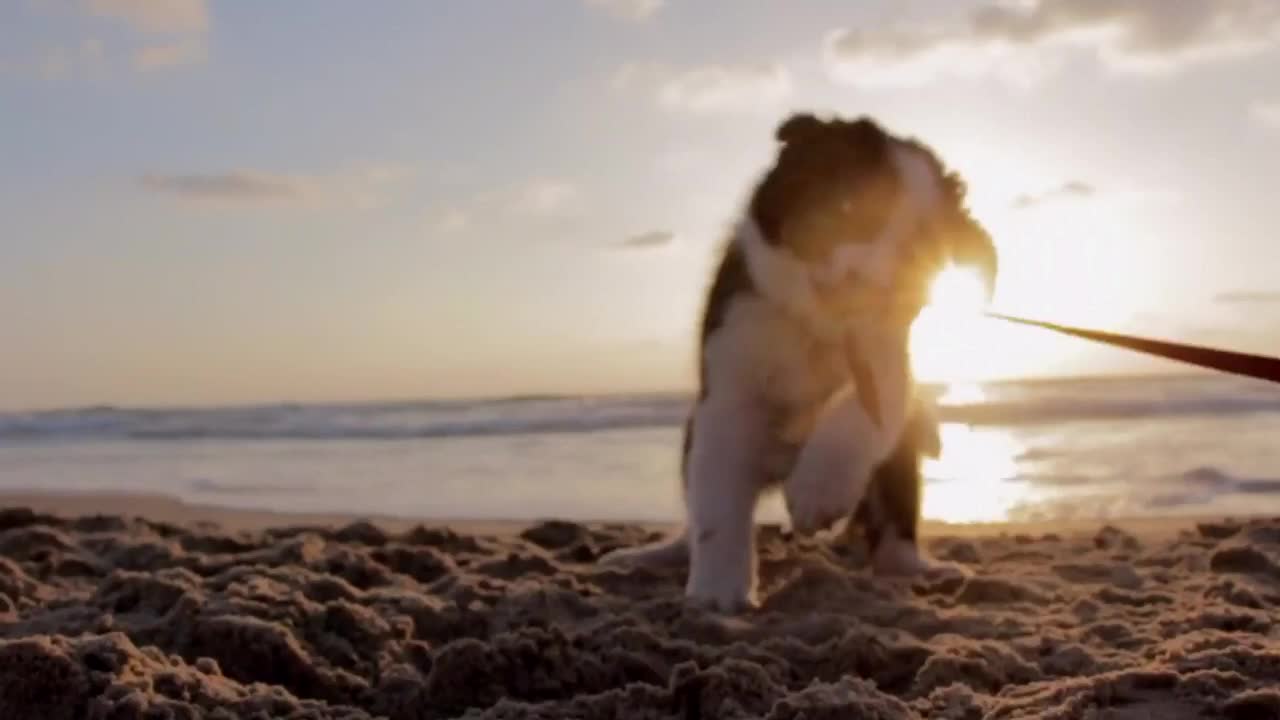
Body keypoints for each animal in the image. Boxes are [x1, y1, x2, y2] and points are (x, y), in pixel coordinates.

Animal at [599, 109, 998, 607]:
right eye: (846, 207)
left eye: (916, 251)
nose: (860, 288)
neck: (813, 327)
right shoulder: (729, 383)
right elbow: (717, 503)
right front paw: (717, 594)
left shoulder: (886, 356)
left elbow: (865, 412)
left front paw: (817, 490)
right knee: (694, 511)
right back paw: (652, 555)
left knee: (895, 515)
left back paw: (917, 566)